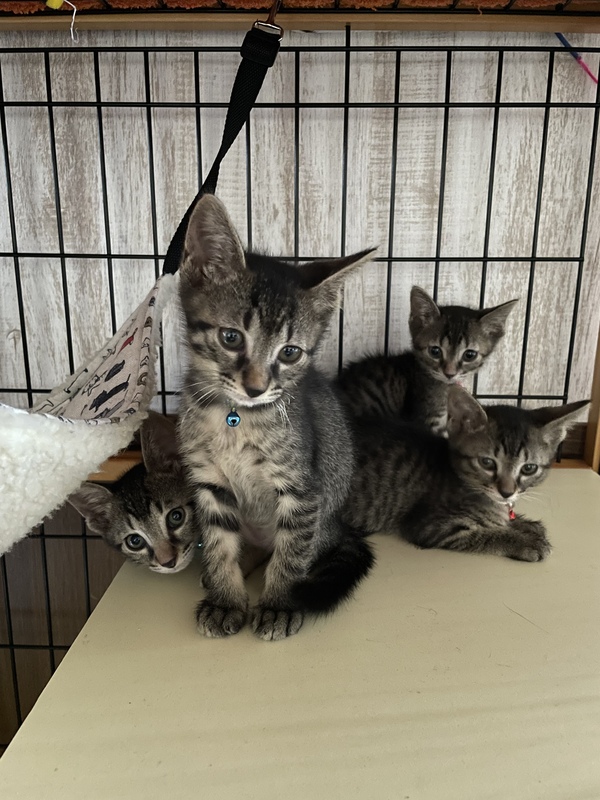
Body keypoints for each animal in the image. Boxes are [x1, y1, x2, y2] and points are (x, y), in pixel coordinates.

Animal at [177, 194, 375, 641]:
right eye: (230, 337)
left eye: (290, 352)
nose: (255, 388)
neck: (235, 419)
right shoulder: (210, 483)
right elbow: (219, 543)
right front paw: (225, 599)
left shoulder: (302, 489)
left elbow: (291, 553)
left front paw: (280, 604)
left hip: (324, 516)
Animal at [344, 385, 589, 561]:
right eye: (487, 462)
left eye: (529, 468)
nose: (507, 492)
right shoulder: (431, 527)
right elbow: (485, 535)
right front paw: (524, 541)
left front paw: (525, 524)